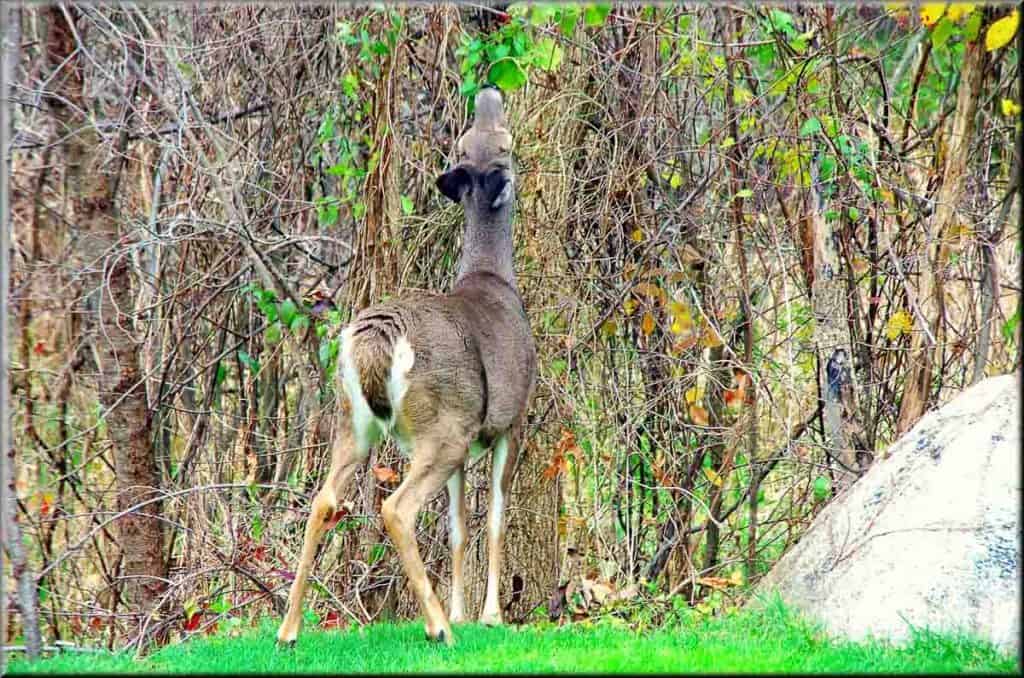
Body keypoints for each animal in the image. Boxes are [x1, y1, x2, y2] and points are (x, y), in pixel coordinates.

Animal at [276, 87, 540, 651]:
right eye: (506, 142)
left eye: (472, 138)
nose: (489, 92)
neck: (494, 280)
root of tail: (376, 336)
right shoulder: (511, 419)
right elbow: (495, 517)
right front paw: (488, 616)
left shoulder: (473, 432)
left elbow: (459, 526)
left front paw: (464, 609)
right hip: (442, 428)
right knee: (396, 508)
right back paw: (438, 627)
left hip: (355, 419)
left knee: (323, 498)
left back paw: (288, 631)